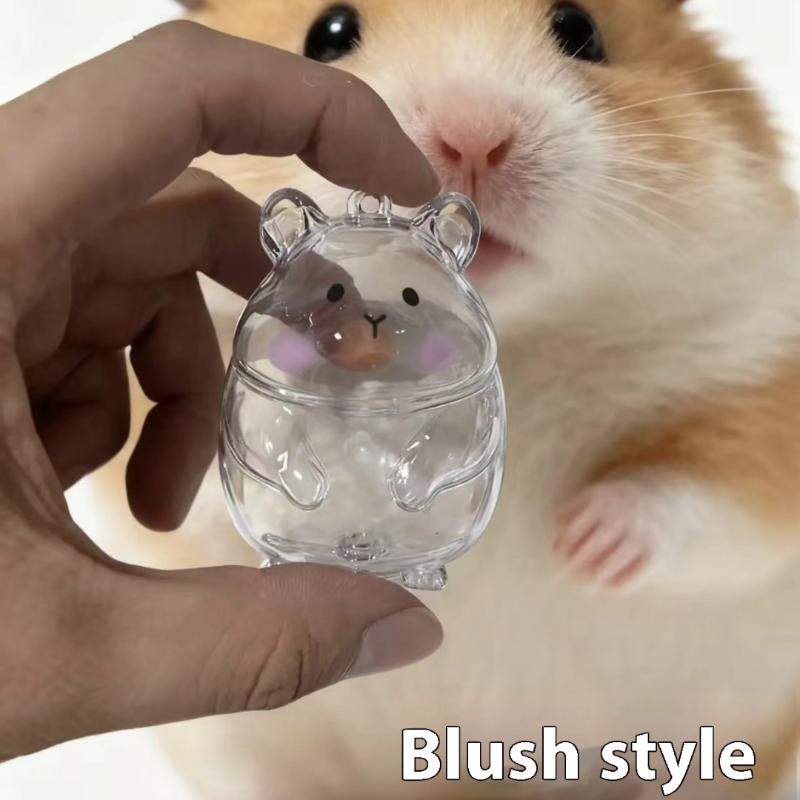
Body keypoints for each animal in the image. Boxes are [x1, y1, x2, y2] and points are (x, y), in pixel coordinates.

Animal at [80, 0, 800, 797]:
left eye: (582, 32)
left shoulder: (760, 379)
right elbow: (208, 493)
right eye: (327, 35)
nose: (475, 139)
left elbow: (708, 495)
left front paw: (578, 544)